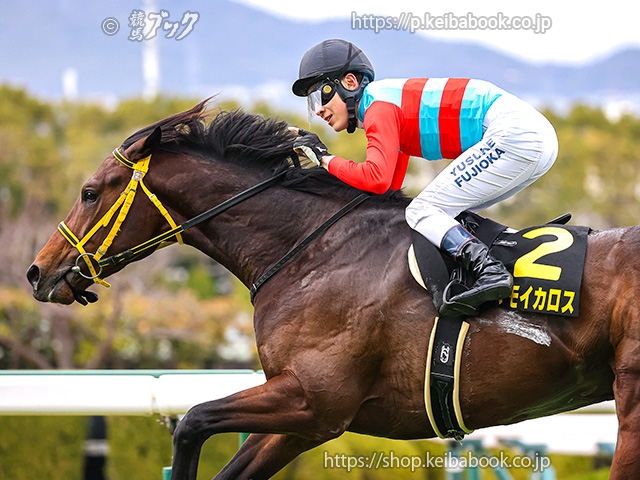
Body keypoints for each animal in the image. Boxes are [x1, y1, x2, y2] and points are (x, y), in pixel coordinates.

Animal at [26, 100, 637, 479]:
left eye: (88, 192)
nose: (37, 272)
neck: (309, 249)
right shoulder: (302, 419)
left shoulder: (314, 398)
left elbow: (193, 422)